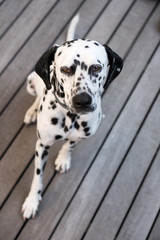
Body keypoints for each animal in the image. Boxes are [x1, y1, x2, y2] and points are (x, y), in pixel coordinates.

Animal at [21, 14, 123, 219]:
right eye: (66, 69)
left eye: (96, 68)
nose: (82, 101)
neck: (70, 117)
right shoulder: (42, 145)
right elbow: (37, 177)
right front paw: (32, 201)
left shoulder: (81, 135)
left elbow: (70, 144)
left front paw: (63, 158)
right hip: (30, 82)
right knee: (37, 95)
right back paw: (32, 111)